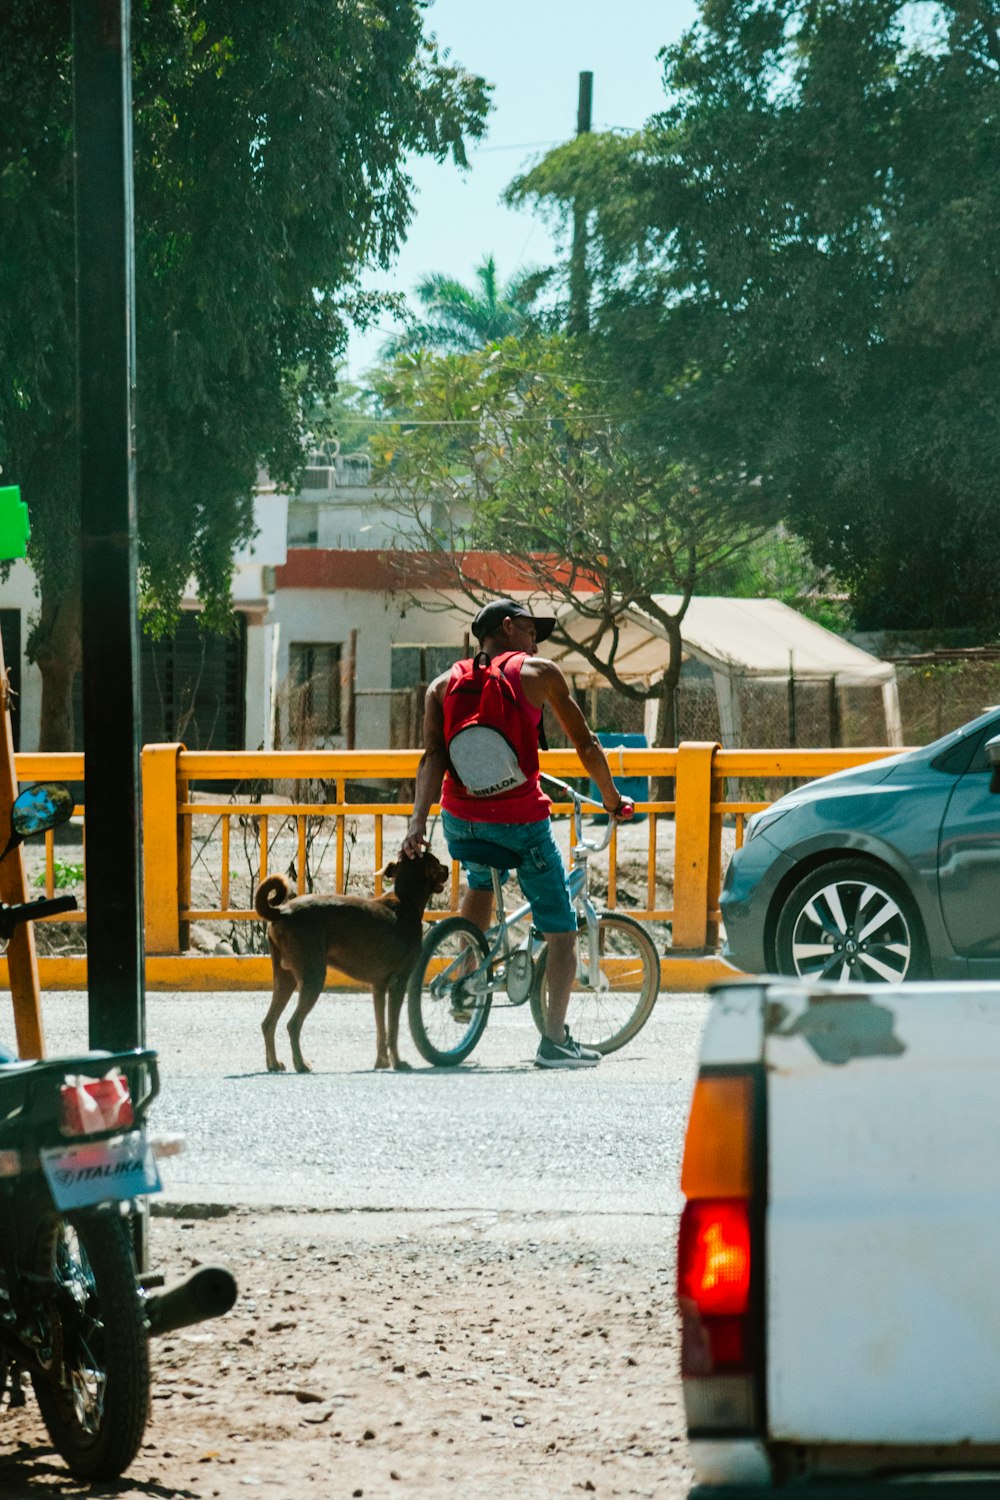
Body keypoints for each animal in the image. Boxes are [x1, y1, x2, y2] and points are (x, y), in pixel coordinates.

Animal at [254, 852, 449, 1074]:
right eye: (436, 862)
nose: (448, 868)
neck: (406, 899)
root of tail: (282, 911)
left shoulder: (378, 987)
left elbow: (381, 1028)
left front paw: (382, 1061)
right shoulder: (398, 983)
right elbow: (393, 1028)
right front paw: (398, 1063)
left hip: (285, 978)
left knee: (268, 1023)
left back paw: (273, 1063)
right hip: (313, 977)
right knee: (292, 1024)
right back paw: (301, 1064)